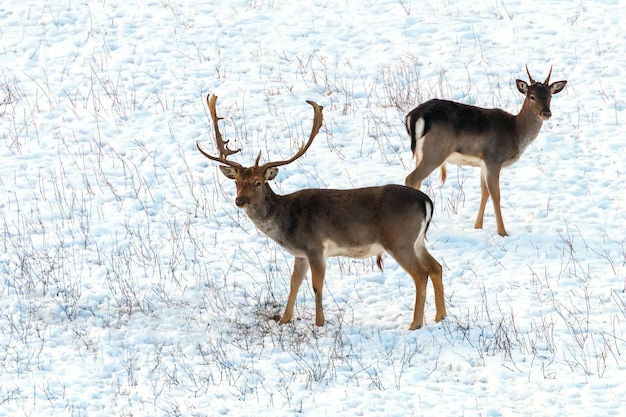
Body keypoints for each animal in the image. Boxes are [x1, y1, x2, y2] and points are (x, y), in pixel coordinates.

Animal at [197, 94, 446, 328]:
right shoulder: (300, 254)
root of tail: (426, 201)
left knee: (421, 274)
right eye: (237, 181)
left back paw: (415, 323)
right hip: (417, 240)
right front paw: (284, 320)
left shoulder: (315, 246)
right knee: (436, 267)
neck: (286, 222)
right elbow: (294, 284)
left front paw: (319, 323)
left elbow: (317, 286)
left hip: (399, 240)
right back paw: (440, 316)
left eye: (258, 182)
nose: (240, 200)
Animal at [404, 66, 564, 236]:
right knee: (411, 178)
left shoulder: (483, 162)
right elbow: (496, 194)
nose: (546, 113)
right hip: (435, 150)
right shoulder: (493, 158)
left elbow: (484, 191)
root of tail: (414, 115)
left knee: (417, 180)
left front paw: (478, 226)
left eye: (550, 96)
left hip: (421, 153)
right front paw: (502, 232)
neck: (514, 132)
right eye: (532, 96)